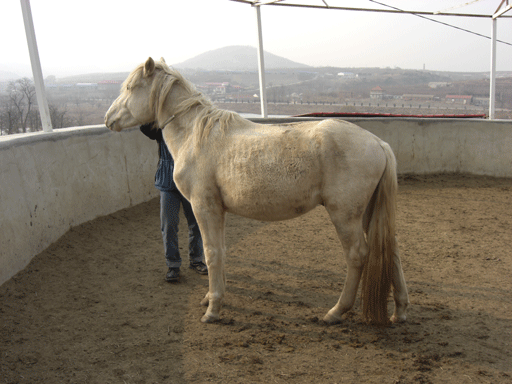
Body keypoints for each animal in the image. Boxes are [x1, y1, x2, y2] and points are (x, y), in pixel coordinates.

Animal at [104, 57, 408, 326]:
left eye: (130, 87)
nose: (108, 118)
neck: (196, 135)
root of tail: (378, 143)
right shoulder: (217, 210)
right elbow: (220, 251)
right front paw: (210, 298)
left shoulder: (204, 207)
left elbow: (211, 253)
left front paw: (213, 309)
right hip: (368, 212)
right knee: (390, 250)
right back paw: (400, 311)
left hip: (345, 215)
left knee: (357, 255)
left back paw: (336, 312)